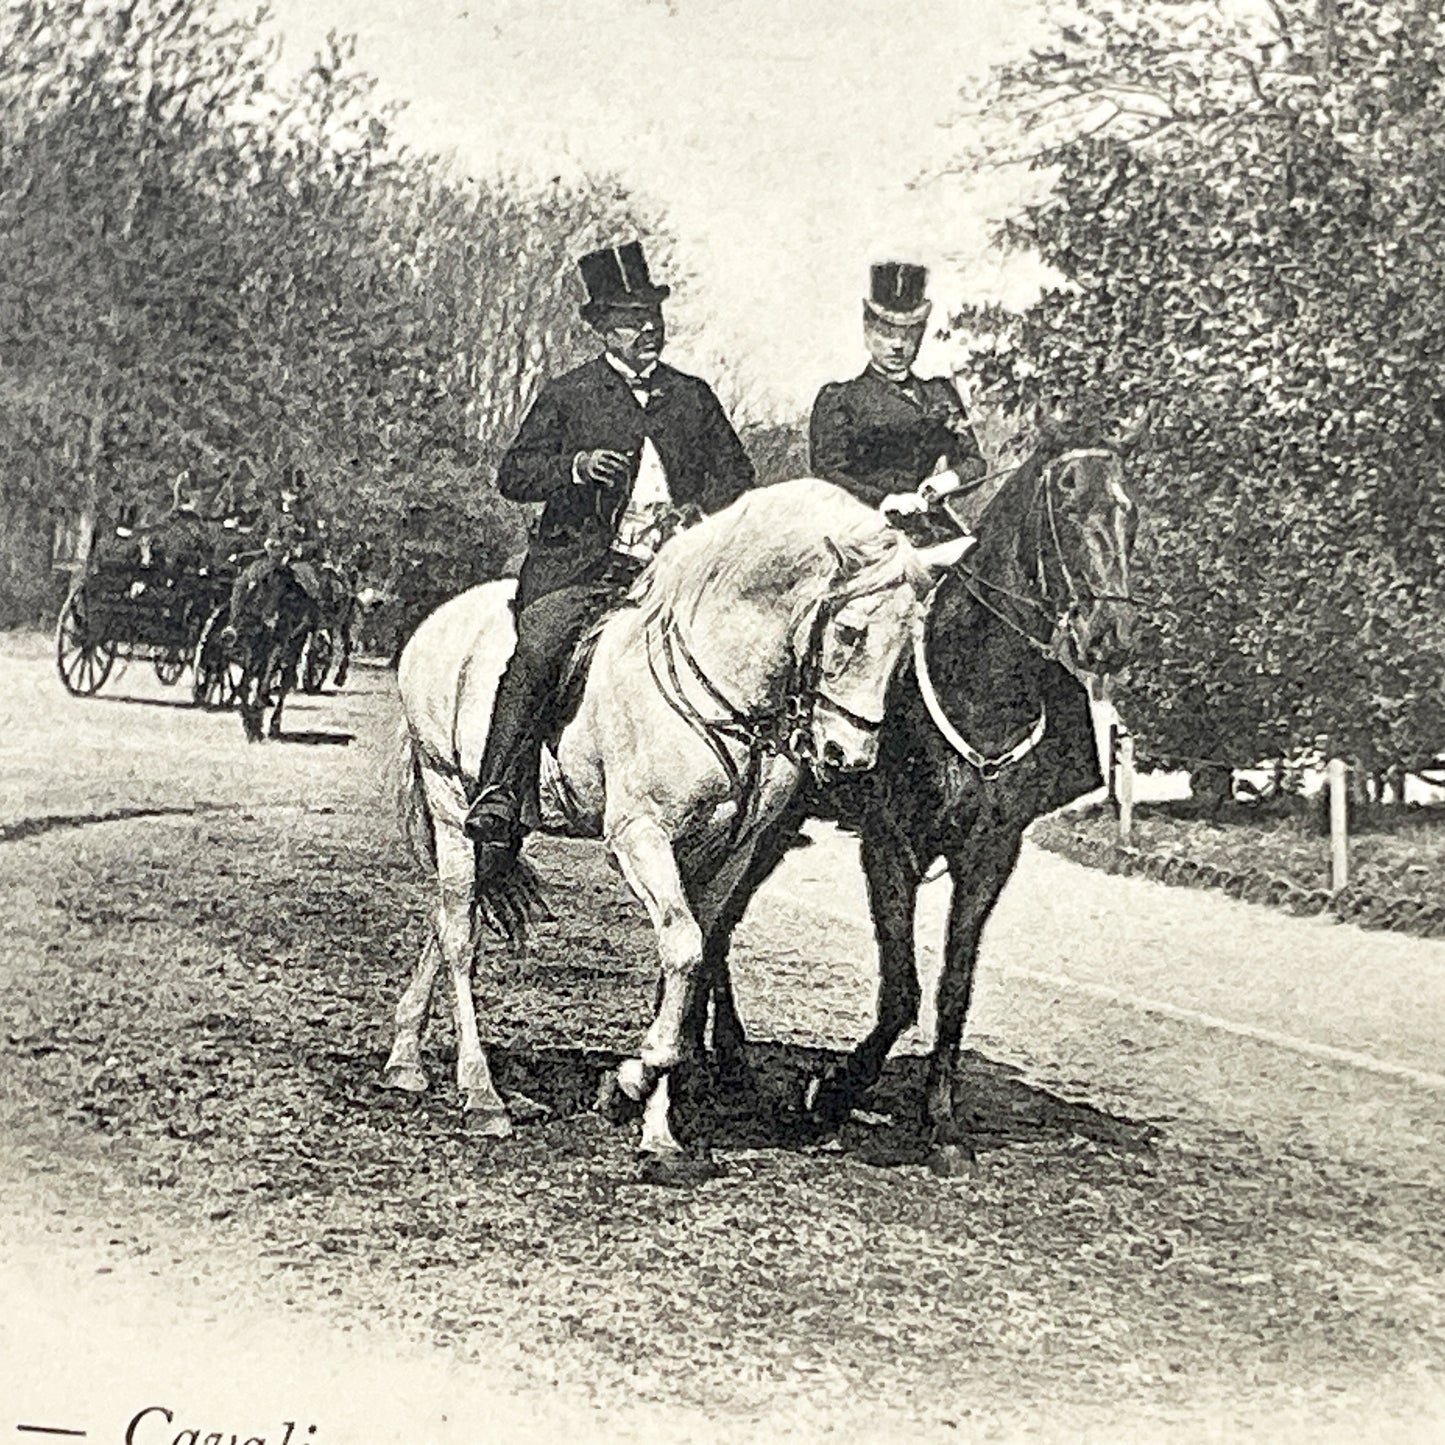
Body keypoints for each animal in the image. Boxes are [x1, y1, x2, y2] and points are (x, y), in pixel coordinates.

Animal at [227, 557, 321, 742]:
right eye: (239, 591)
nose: (229, 634)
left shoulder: (277, 648)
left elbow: (263, 686)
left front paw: (255, 726)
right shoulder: (252, 652)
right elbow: (244, 687)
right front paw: (249, 723)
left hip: (293, 650)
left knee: (284, 684)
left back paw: (274, 727)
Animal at [383, 479, 948, 1177]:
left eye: (907, 655)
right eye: (848, 632)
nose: (849, 757)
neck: (724, 688)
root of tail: (435, 623)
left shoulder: (727, 854)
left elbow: (693, 961)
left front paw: (657, 1128)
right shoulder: (641, 836)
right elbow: (683, 948)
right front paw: (629, 1080)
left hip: (495, 828)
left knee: (447, 918)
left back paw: (406, 1059)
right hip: (448, 797)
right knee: (461, 934)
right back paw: (482, 1094)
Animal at [700, 427, 1142, 1176]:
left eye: (1128, 511)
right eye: (1066, 502)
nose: (1109, 636)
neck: (980, 683)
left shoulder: (990, 854)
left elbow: (952, 990)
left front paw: (942, 1123)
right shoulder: (891, 844)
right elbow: (901, 990)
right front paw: (830, 1093)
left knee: (719, 920)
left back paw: (724, 1056)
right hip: (769, 822)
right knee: (717, 919)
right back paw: (722, 1059)